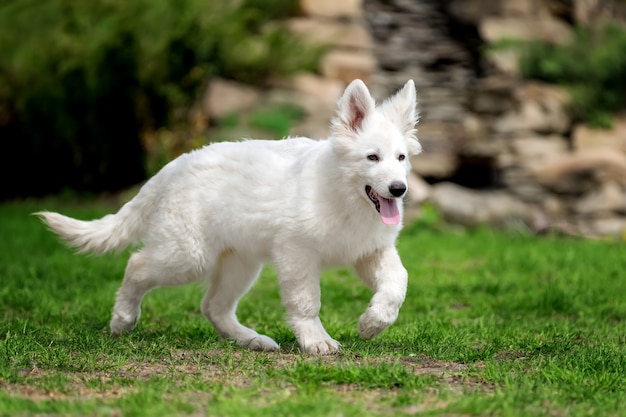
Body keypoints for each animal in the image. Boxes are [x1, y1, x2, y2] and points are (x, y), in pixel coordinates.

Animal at [36, 79, 422, 354]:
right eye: (372, 157)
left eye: (401, 158)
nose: (399, 189)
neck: (346, 198)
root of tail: (175, 164)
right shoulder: (297, 254)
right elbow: (306, 301)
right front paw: (316, 340)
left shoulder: (369, 252)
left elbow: (399, 282)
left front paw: (373, 323)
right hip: (189, 256)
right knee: (137, 265)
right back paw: (123, 320)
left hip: (241, 262)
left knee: (213, 306)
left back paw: (251, 340)